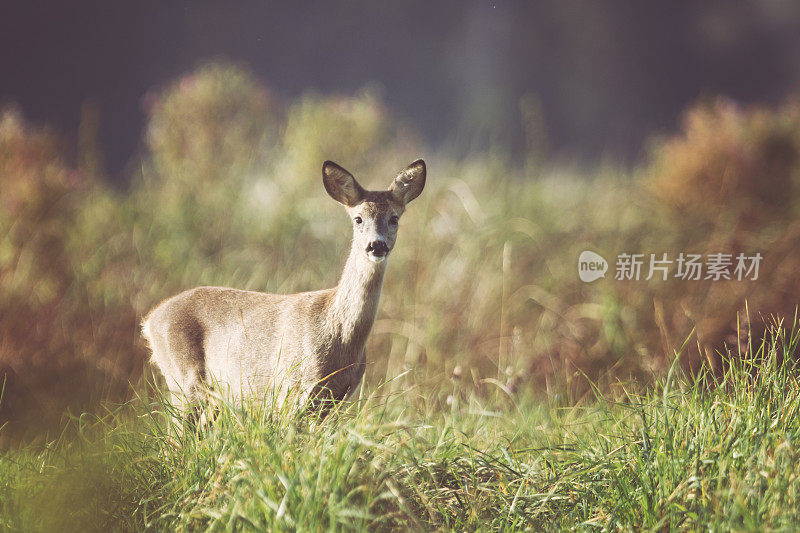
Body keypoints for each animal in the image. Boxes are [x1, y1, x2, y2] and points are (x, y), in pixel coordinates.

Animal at [142, 158, 432, 416]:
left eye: (394, 218)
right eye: (358, 219)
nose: (376, 245)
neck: (337, 332)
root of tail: (150, 319)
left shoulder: (337, 399)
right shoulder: (290, 388)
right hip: (183, 382)